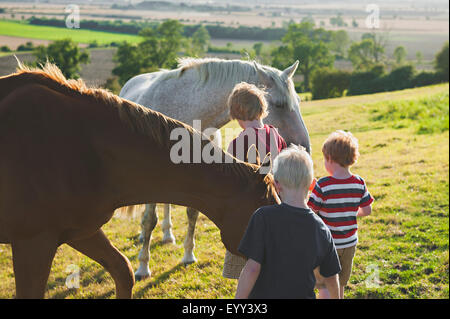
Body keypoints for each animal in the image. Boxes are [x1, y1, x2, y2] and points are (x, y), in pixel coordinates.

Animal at [118, 57, 312, 280]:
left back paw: (168, 234)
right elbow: (149, 220)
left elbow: (192, 214)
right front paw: (142, 267)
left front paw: (188, 256)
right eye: (279, 105)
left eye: (298, 101)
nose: (304, 147)